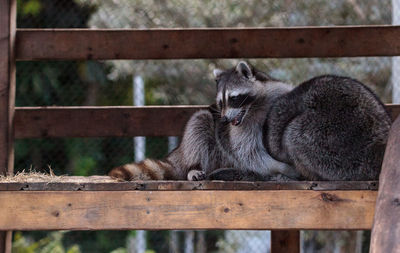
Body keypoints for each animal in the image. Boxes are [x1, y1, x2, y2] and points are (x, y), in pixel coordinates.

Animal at [109, 61, 296, 180]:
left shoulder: (277, 92)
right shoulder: (241, 129)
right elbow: (249, 152)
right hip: (202, 148)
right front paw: (282, 167)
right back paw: (193, 168)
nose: (224, 119)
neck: (254, 106)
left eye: (234, 98)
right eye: (221, 102)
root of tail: (179, 152)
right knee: (199, 122)